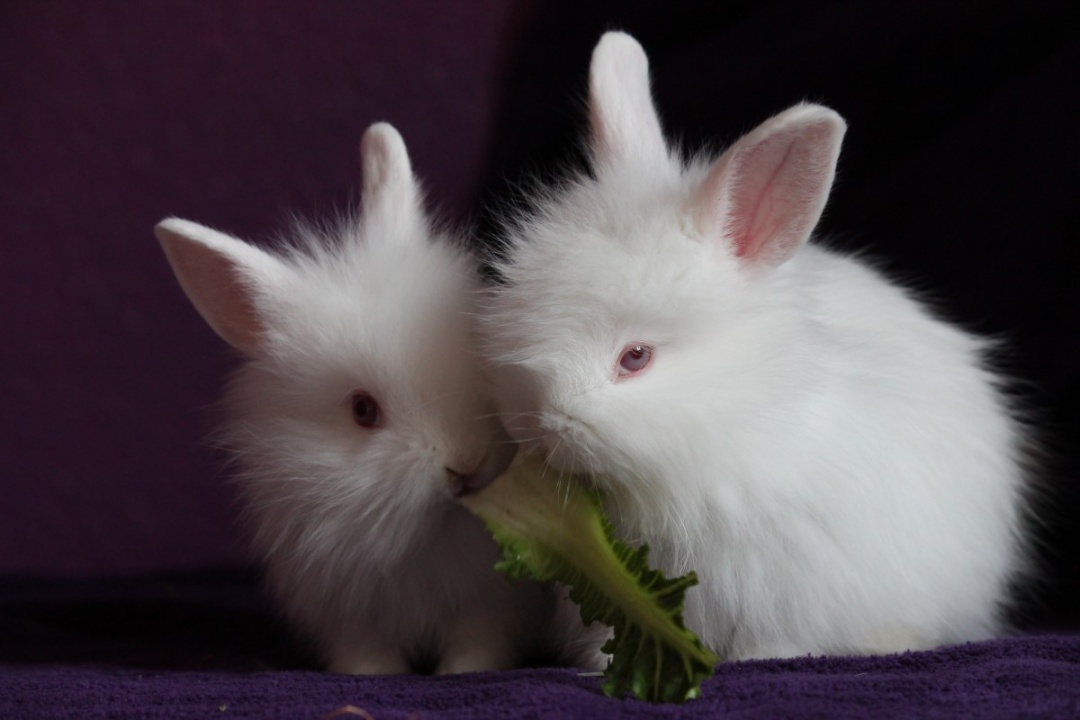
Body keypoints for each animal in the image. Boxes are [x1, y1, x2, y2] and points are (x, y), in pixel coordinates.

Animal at [155, 122, 561, 677]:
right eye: (363, 410)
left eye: (479, 364)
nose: (466, 464)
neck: (420, 539)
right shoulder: (347, 613)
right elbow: (367, 653)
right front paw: (375, 675)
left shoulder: (491, 607)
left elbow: (477, 645)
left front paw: (464, 672)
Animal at [479, 33, 1028, 660]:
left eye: (635, 358)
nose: (542, 428)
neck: (732, 425)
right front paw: (595, 664)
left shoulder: (789, 581)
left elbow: (777, 635)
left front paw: (766, 658)